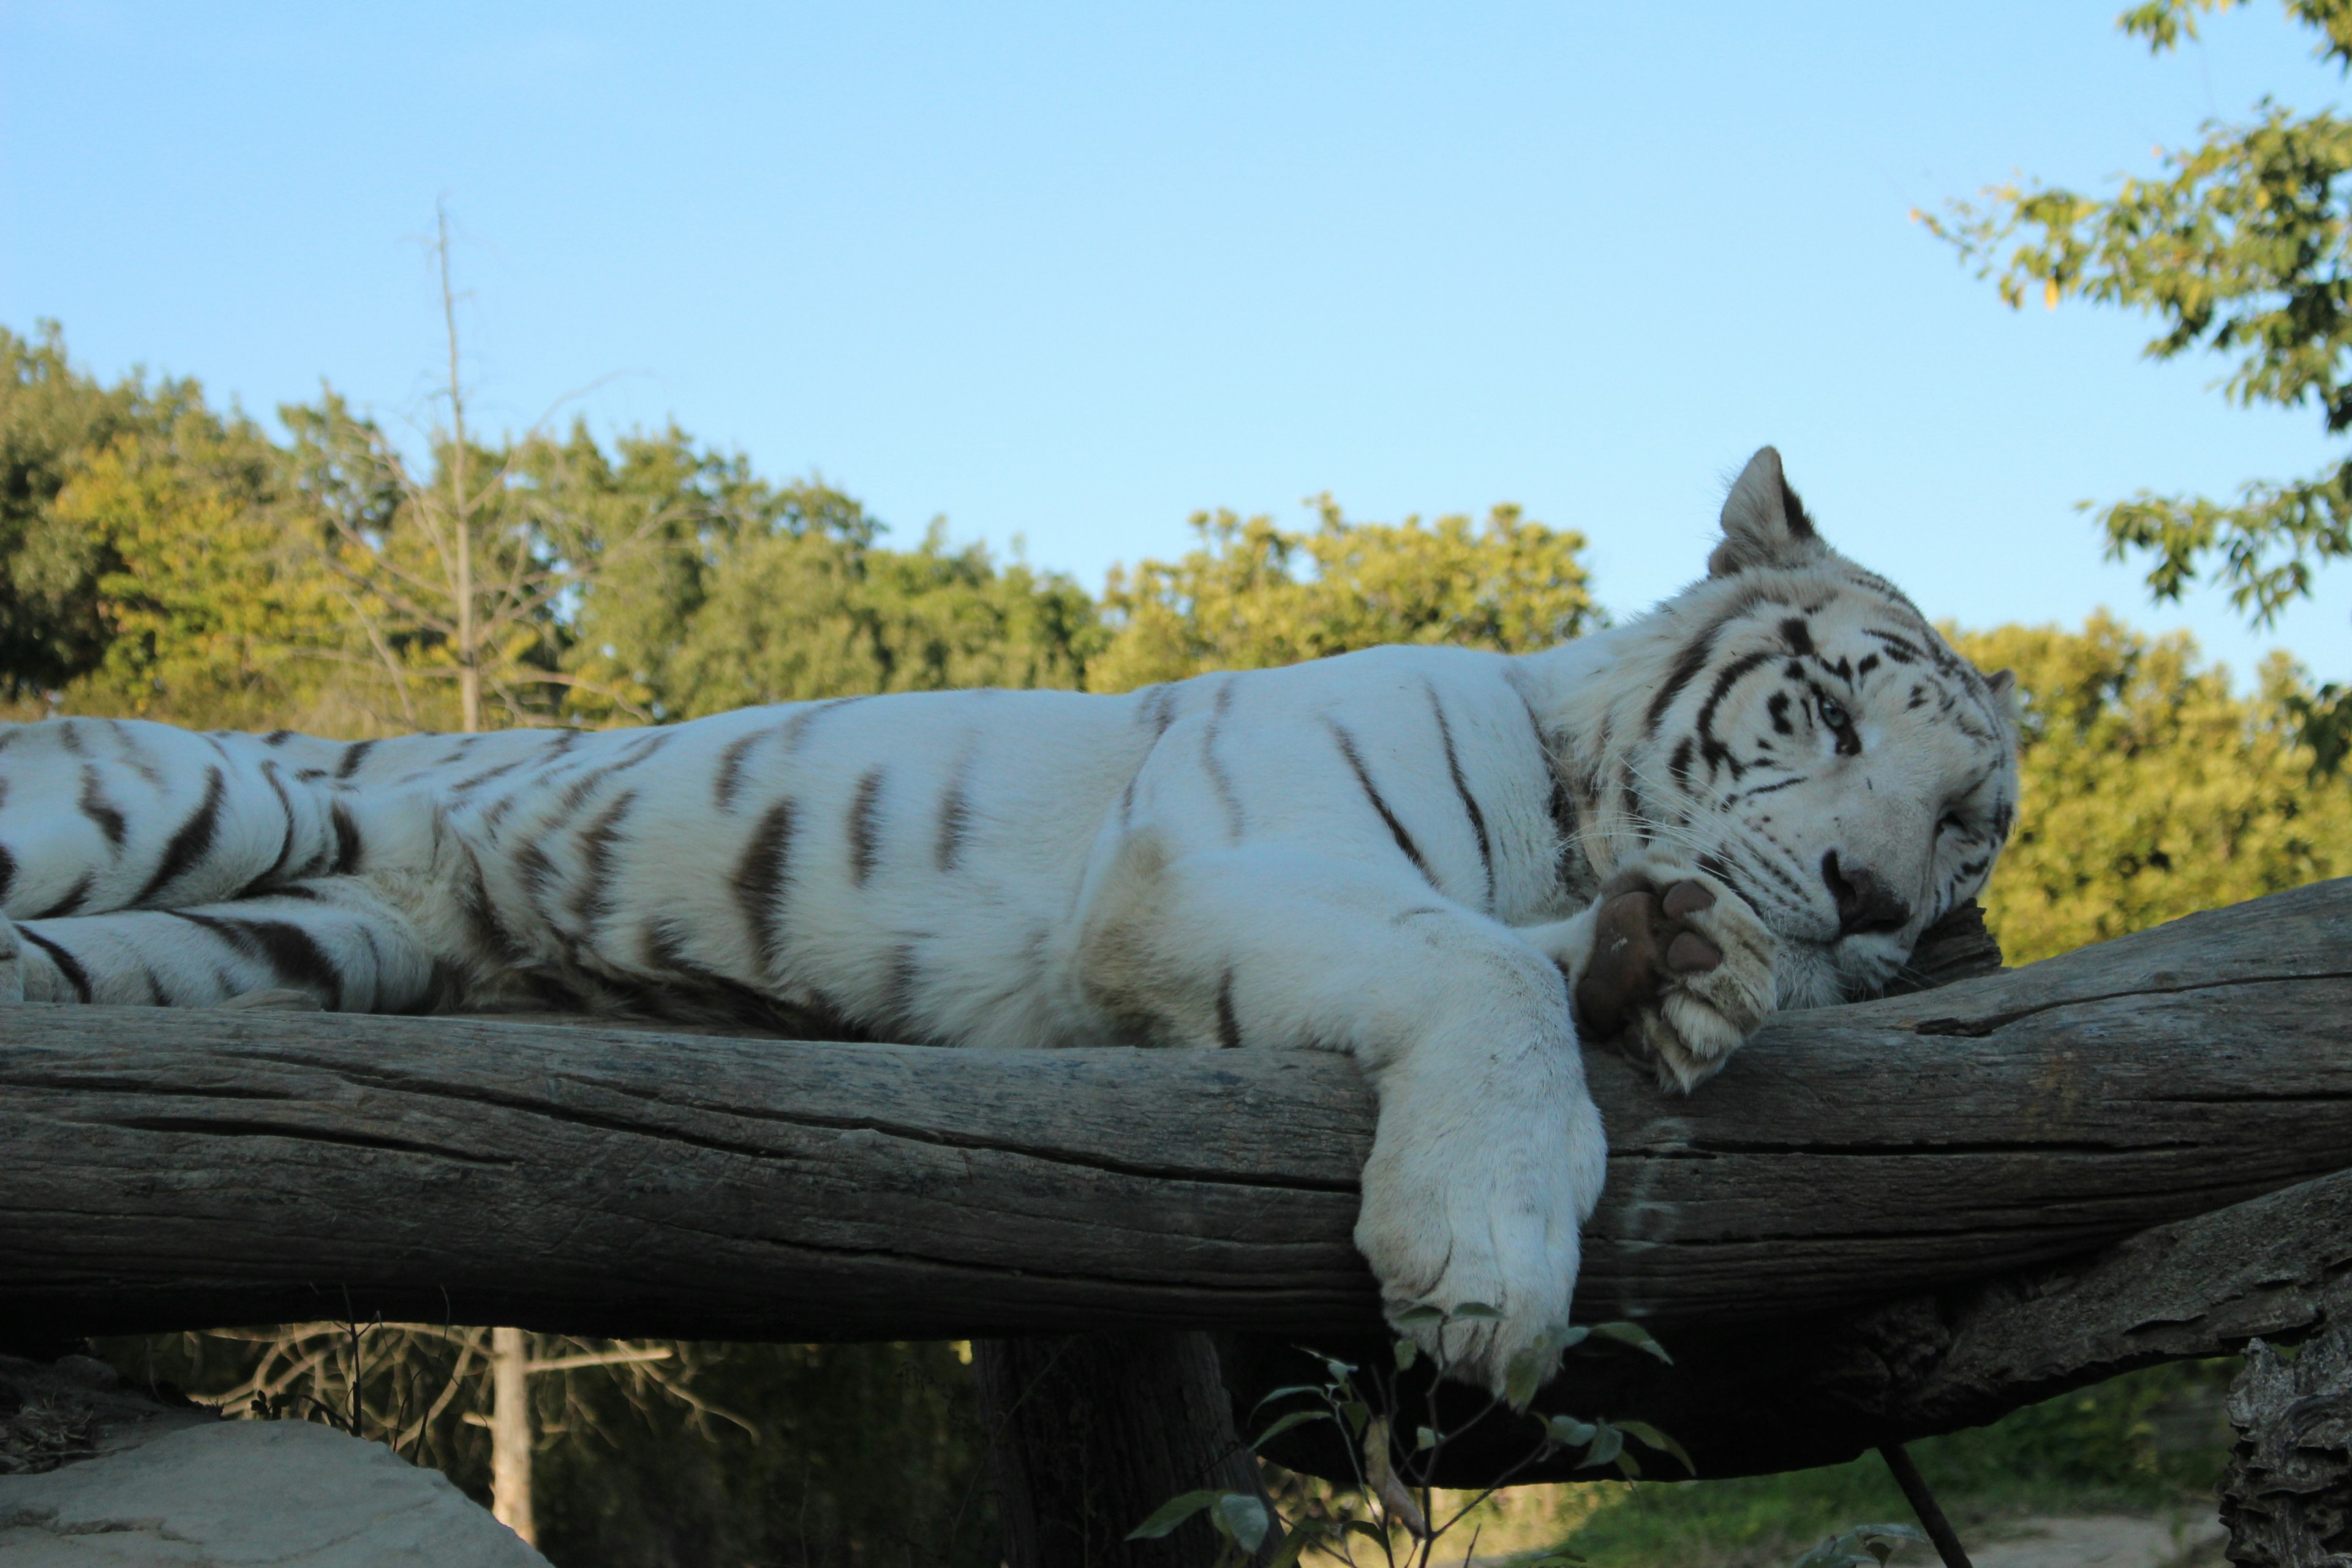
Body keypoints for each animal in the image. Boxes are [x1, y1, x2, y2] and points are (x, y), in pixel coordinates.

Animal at [0, 451, 2022, 1382]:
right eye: (1830, 714)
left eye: (1965, 833)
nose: (1864, 897)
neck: (1557, 820)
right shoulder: (1201, 858)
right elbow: (1473, 973)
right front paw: (1481, 1267)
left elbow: (1534, 951)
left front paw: (1684, 962)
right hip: (206, 801)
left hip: (284, 947)